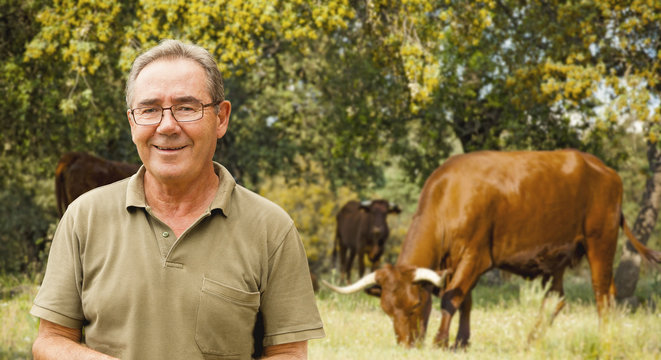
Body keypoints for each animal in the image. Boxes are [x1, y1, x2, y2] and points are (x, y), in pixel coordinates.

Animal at [324, 150, 660, 348]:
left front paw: (440, 341)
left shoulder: (475, 256)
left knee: (603, 295)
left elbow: (450, 299)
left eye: (415, 304)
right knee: (558, 298)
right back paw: (531, 341)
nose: (407, 345)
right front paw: (461, 342)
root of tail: (604, 169)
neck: (449, 196)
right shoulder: (455, 262)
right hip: (559, 257)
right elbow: (465, 301)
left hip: (600, 243)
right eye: (386, 309)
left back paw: (604, 339)